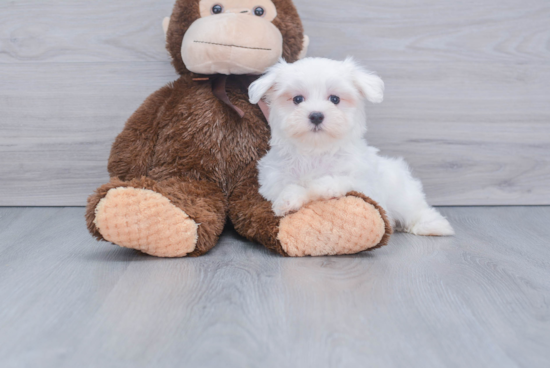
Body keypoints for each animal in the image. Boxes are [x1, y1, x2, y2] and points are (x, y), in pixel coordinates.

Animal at [251, 57, 458, 236]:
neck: (316, 150)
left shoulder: (363, 183)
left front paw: (320, 185)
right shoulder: (272, 179)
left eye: (335, 99)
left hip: (403, 195)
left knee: (416, 209)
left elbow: (338, 180)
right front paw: (288, 200)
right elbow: (289, 186)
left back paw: (434, 225)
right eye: (297, 99)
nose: (316, 115)